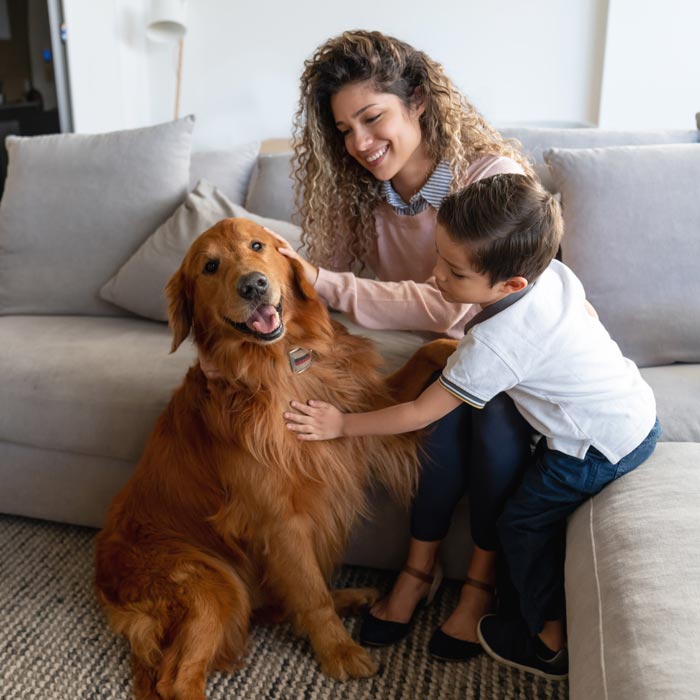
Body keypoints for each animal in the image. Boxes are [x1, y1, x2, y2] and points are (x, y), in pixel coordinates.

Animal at [94, 219, 454, 700]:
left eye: (257, 245)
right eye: (210, 266)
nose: (253, 285)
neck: (281, 365)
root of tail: (104, 576)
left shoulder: (370, 406)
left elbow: (427, 354)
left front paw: (468, 345)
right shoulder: (279, 520)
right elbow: (311, 593)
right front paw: (339, 652)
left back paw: (352, 596)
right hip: (214, 584)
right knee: (178, 678)